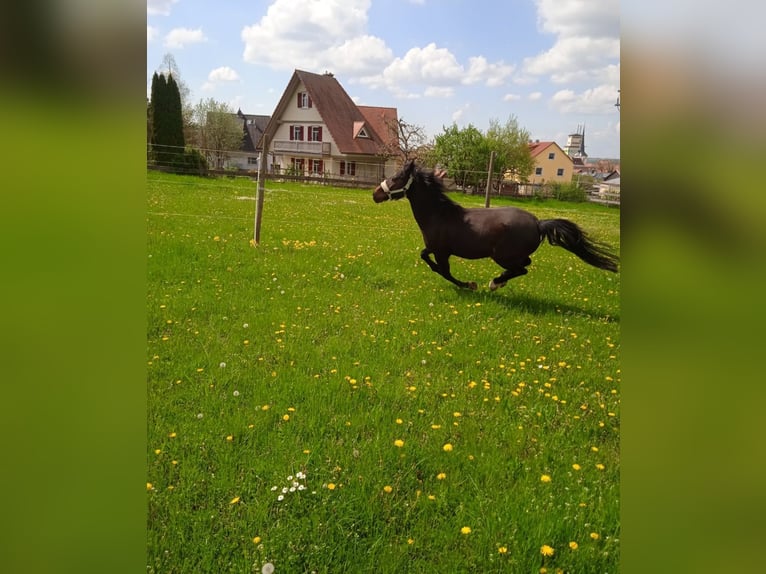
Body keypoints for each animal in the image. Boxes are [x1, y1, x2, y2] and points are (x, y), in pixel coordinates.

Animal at [372, 160, 619, 290]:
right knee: (524, 265)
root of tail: (539, 223)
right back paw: (499, 282)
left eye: (395, 178)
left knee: (522, 268)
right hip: (510, 255)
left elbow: (444, 271)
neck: (439, 215)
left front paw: (469, 285)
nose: (375, 194)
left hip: (501, 255)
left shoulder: (442, 252)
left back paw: (494, 282)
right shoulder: (435, 249)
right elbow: (425, 257)